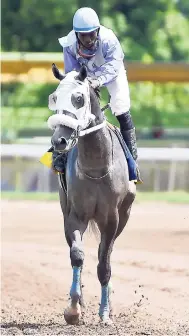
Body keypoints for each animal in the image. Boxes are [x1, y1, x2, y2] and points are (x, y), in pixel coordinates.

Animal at [47, 63, 136, 326]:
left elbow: (104, 264)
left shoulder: (111, 218)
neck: (96, 166)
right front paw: (73, 309)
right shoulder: (75, 215)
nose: (59, 140)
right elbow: (77, 255)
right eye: (54, 98)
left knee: (105, 254)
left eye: (78, 98)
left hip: (124, 217)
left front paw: (105, 313)